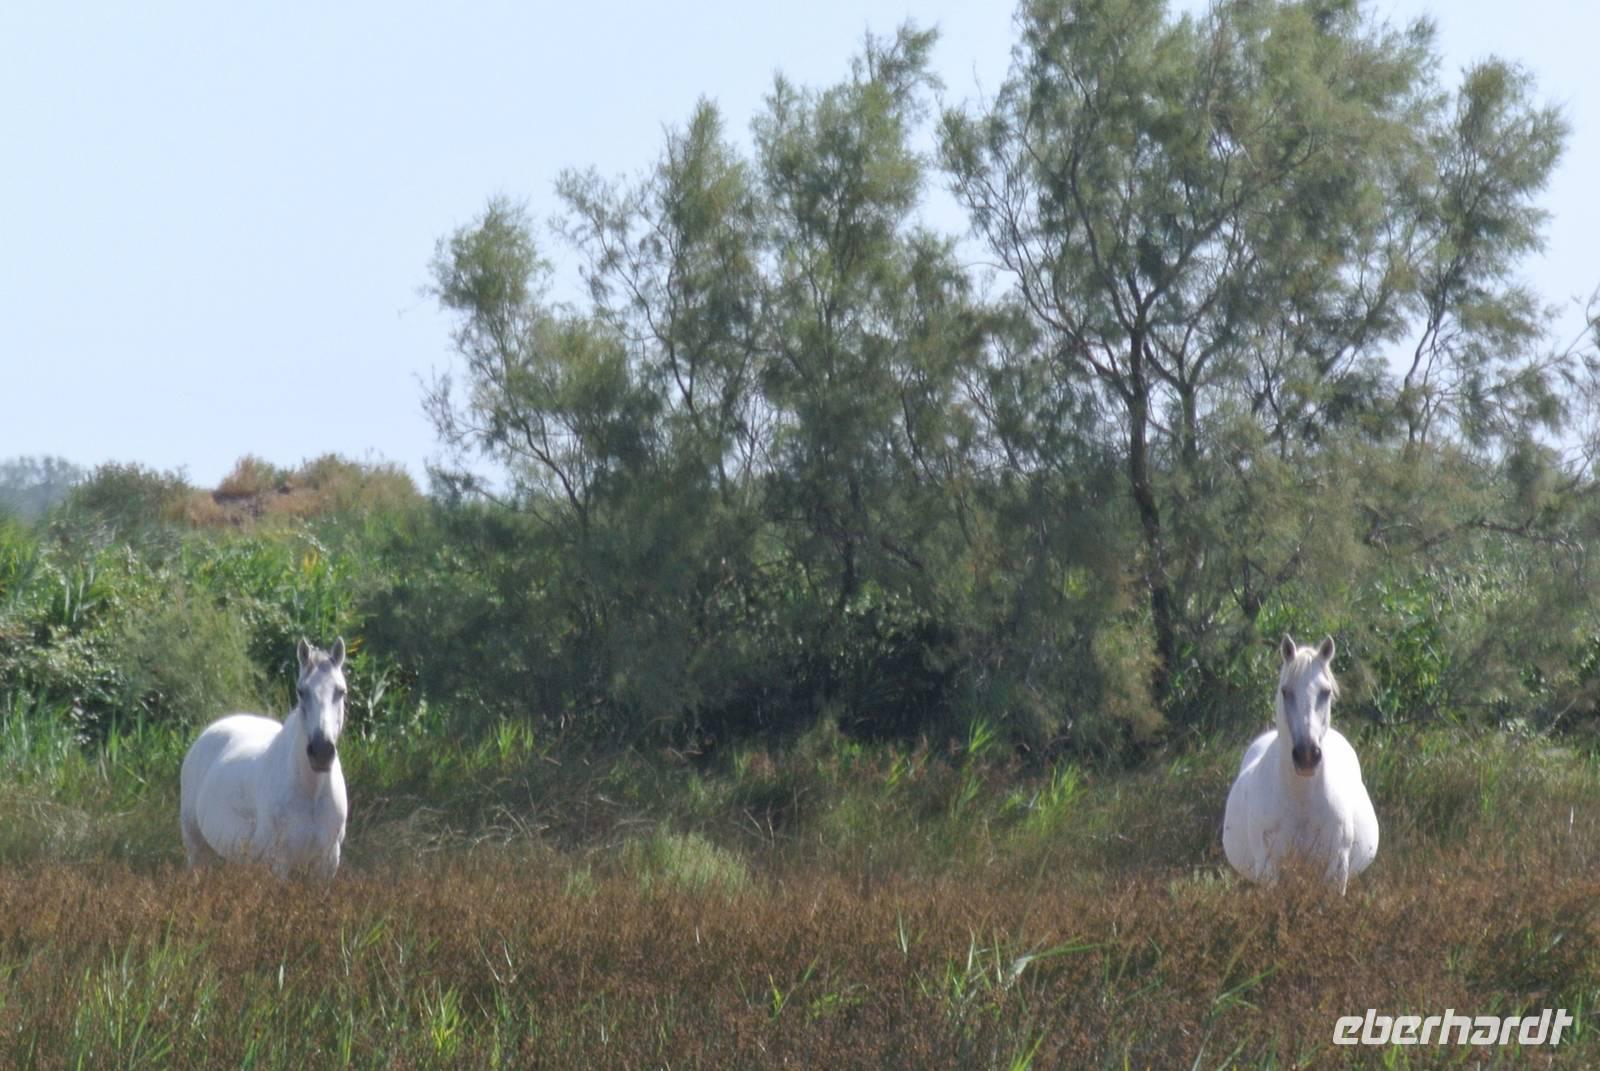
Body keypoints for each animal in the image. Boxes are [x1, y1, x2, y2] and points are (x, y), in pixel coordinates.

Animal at [179, 637, 350, 879]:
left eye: (340, 691)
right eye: (301, 691)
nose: (321, 751)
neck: (311, 793)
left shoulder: (326, 863)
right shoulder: (278, 863)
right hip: (197, 850)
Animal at [1221, 634, 1378, 893]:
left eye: (1326, 692)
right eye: (1286, 691)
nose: (1307, 755)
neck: (1301, 800)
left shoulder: (1336, 871)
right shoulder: (1269, 871)